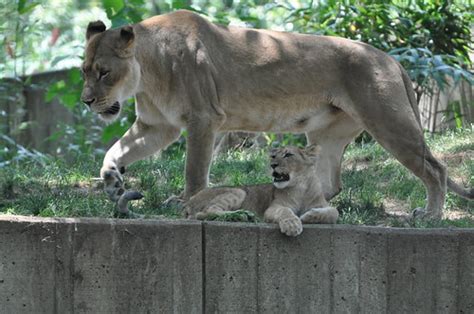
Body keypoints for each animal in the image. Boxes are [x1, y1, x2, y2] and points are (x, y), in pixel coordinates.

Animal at [80, 9, 470, 216]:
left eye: (103, 72)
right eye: (84, 71)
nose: (86, 101)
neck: (147, 72)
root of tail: (391, 59)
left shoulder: (203, 118)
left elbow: (194, 170)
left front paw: (187, 201)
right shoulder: (157, 125)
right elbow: (116, 150)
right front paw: (112, 179)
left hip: (388, 120)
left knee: (436, 169)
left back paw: (431, 214)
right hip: (326, 134)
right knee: (331, 183)